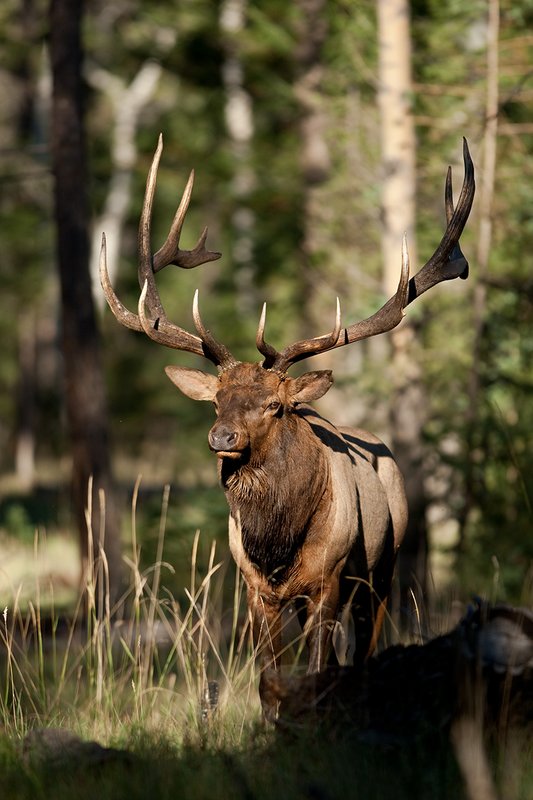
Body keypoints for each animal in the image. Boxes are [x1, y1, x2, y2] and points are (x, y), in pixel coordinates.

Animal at [100, 135, 475, 718]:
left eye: (275, 406)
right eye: (217, 402)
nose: (222, 438)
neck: (276, 543)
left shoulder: (329, 579)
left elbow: (319, 667)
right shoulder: (257, 589)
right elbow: (268, 677)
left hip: (382, 571)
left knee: (361, 649)